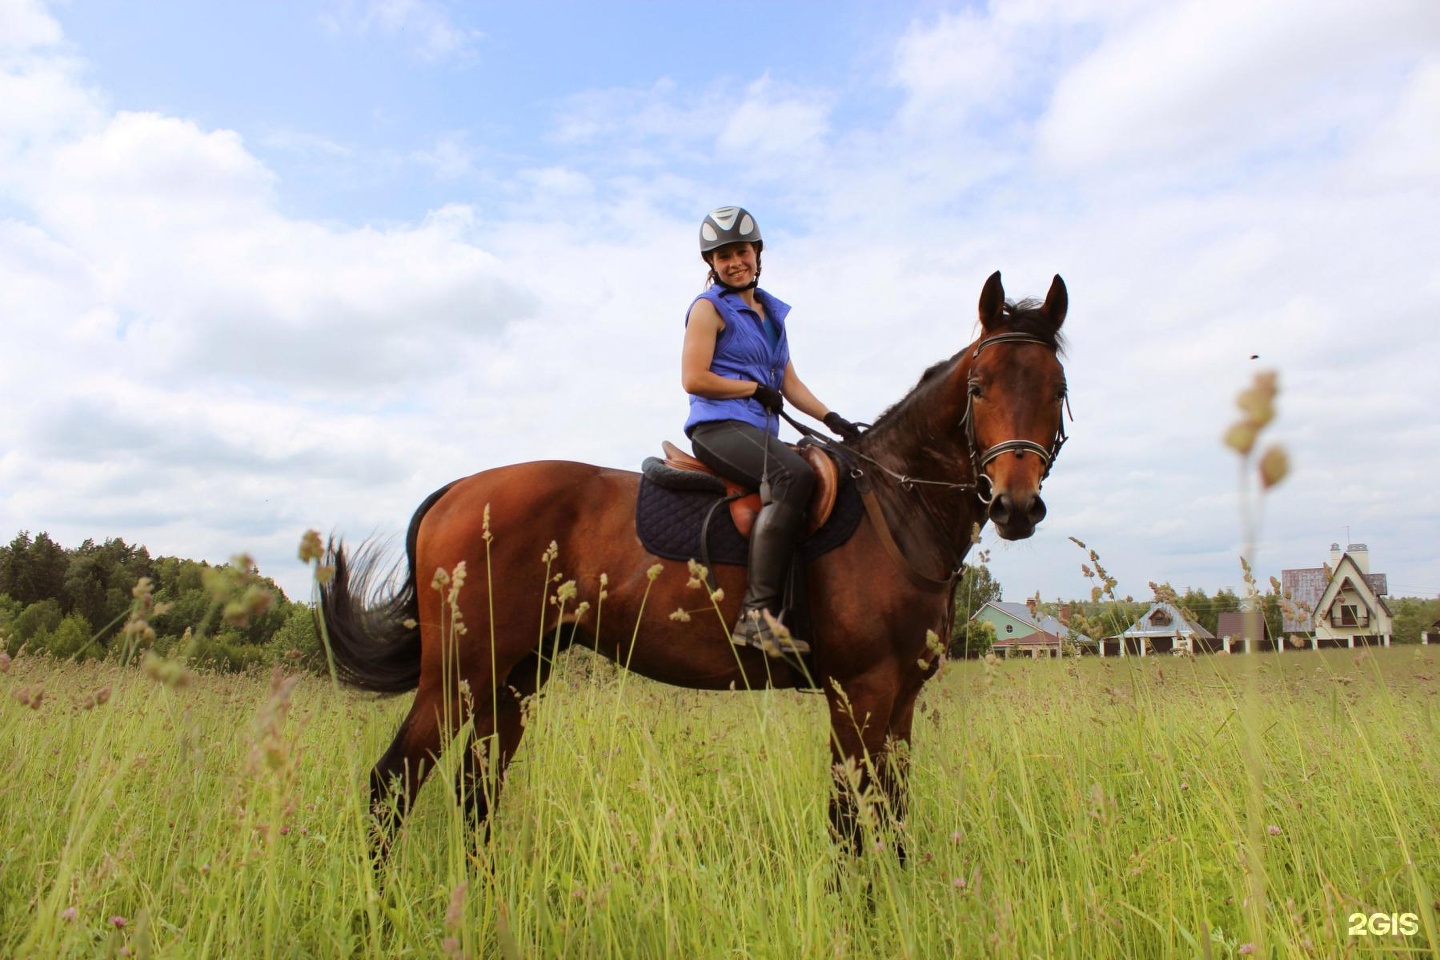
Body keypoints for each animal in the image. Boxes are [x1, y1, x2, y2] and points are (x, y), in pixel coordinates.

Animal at [324, 272, 1071, 863]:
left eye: (1056, 387)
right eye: (978, 387)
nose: (1015, 504)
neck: (895, 505)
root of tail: (457, 492)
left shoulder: (901, 701)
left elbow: (893, 819)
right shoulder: (856, 694)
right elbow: (849, 825)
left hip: (512, 679)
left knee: (475, 793)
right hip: (458, 676)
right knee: (390, 785)